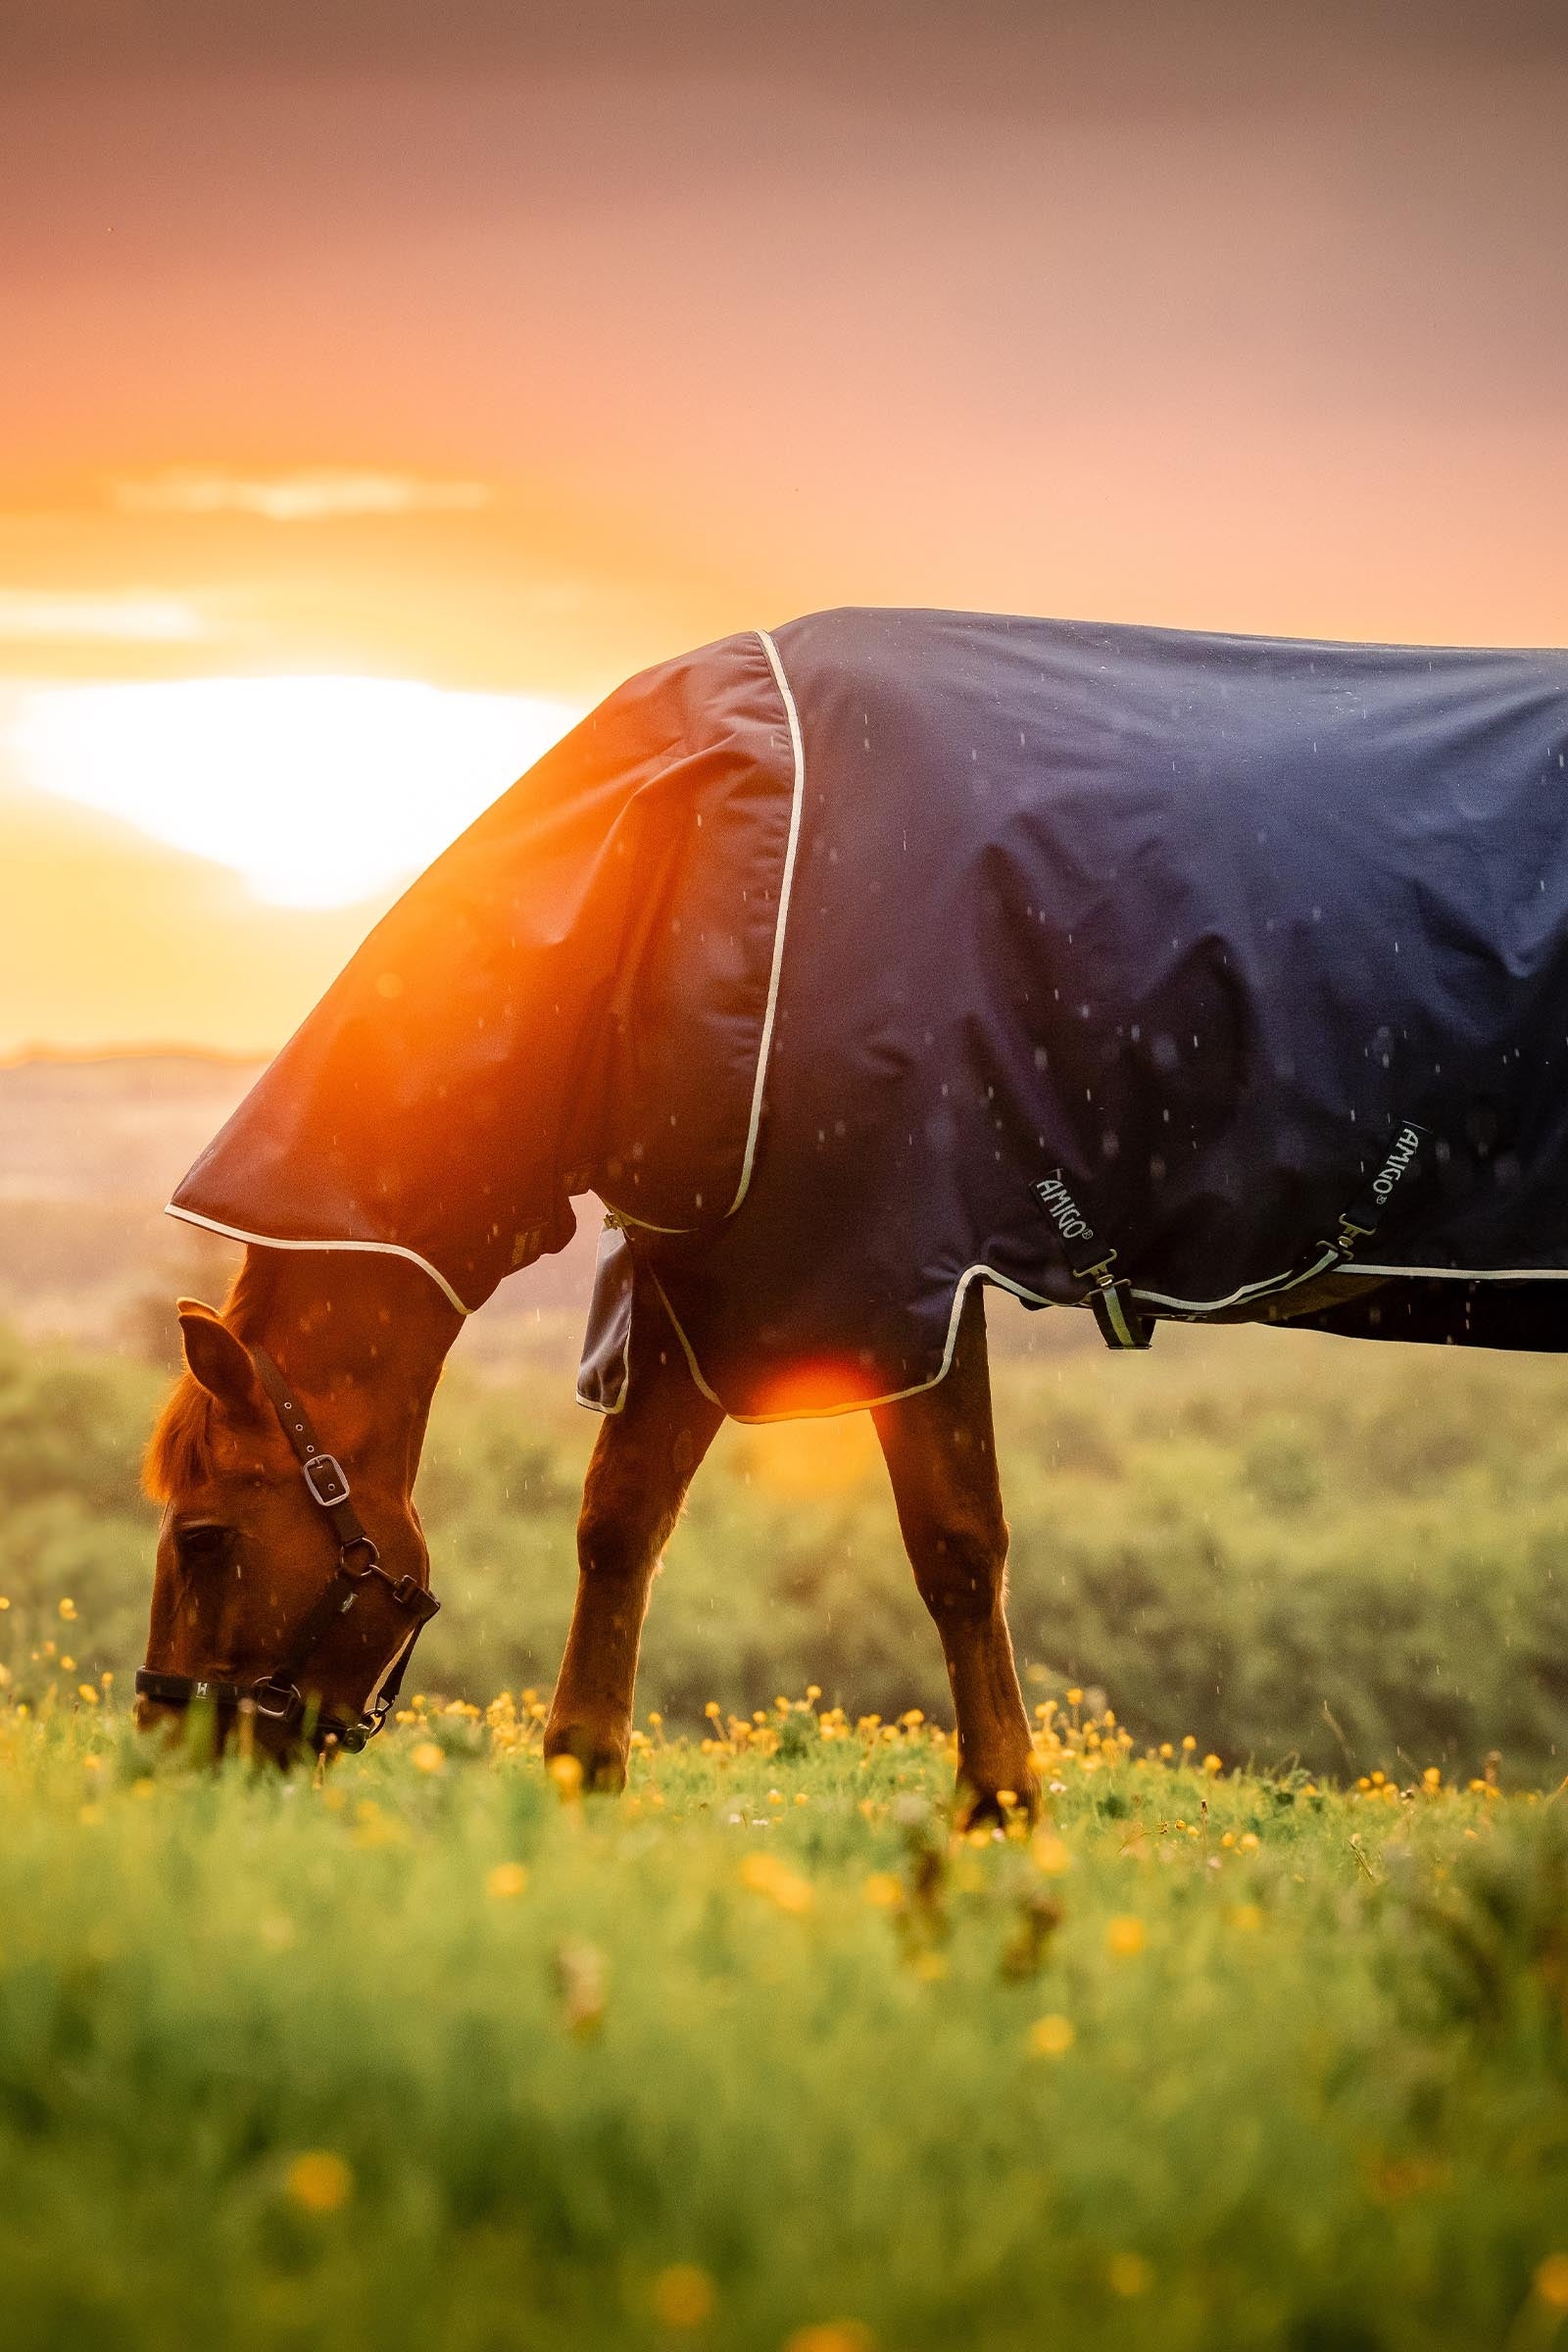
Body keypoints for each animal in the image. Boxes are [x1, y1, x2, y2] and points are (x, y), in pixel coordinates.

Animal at [139, 608, 1568, 1817]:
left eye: (204, 1538)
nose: (168, 1750)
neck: (687, 855)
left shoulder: (892, 1276)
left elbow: (954, 1547)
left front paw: (999, 1806)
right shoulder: (718, 1265)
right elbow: (620, 1521)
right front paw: (583, 1775)